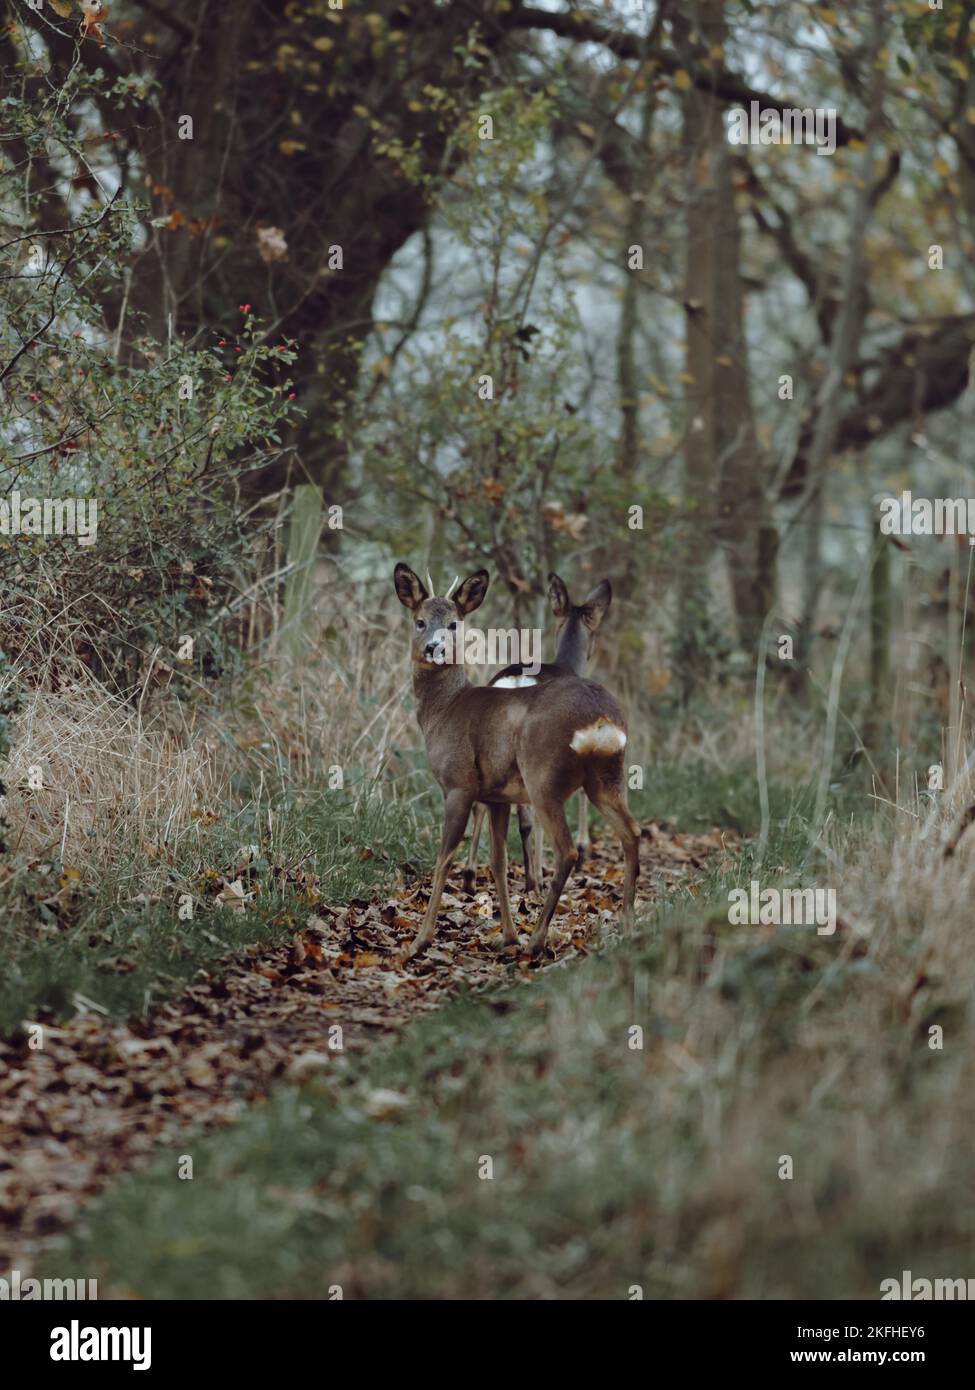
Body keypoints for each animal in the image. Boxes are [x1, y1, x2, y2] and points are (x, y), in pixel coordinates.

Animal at [461, 572, 612, 897]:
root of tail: (514, 683)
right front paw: (580, 851)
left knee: (482, 802)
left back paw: (470, 876)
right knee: (528, 814)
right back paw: (535, 880)